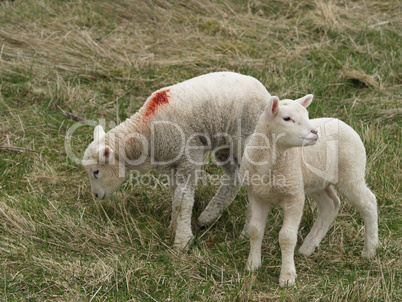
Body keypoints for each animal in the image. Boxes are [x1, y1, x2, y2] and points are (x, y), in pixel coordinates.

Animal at [81, 71, 270, 250]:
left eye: (96, 172)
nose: (96, 195)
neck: (146, 130)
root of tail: (266, 94)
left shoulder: (189, 156)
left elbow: (183, 199)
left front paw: (182, 242)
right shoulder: (171, 162)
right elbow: (175, 196)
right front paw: (173, 227)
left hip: (248, 139)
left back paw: (245, 233)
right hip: (225, 144)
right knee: (233, 177)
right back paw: (208, 216)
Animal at [240, 95, 378, 286]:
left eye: (307, 115)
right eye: (287, 118)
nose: (315, 132)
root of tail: (341, 121)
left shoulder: (294, 196)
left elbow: (287, 237)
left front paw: (287, 277)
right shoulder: (256, 195)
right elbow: (255, 230)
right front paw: (252, 265)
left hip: (351, 172)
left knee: (368, 203)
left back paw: (369, 250)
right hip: (317, 181)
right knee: (331, 205)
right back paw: (308, 247)